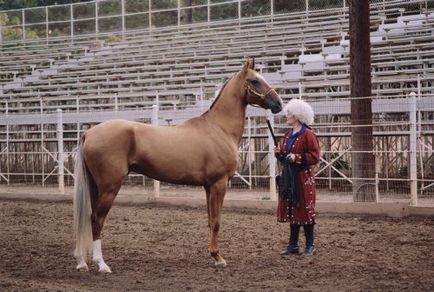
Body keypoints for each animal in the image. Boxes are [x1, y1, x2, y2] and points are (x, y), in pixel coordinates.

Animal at [73, 58, 284, 272]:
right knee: (97, 220)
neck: (219, 128)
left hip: (95, 186)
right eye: (255, 81)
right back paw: (101, 264)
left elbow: (210, 221)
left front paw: (214, 255)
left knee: (87, 219)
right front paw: (218, 258)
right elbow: (217, 222)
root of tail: (89, 133)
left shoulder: (208, 186)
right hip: (110, 187)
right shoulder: (219, 183)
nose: (278, 103)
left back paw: (82, 262)